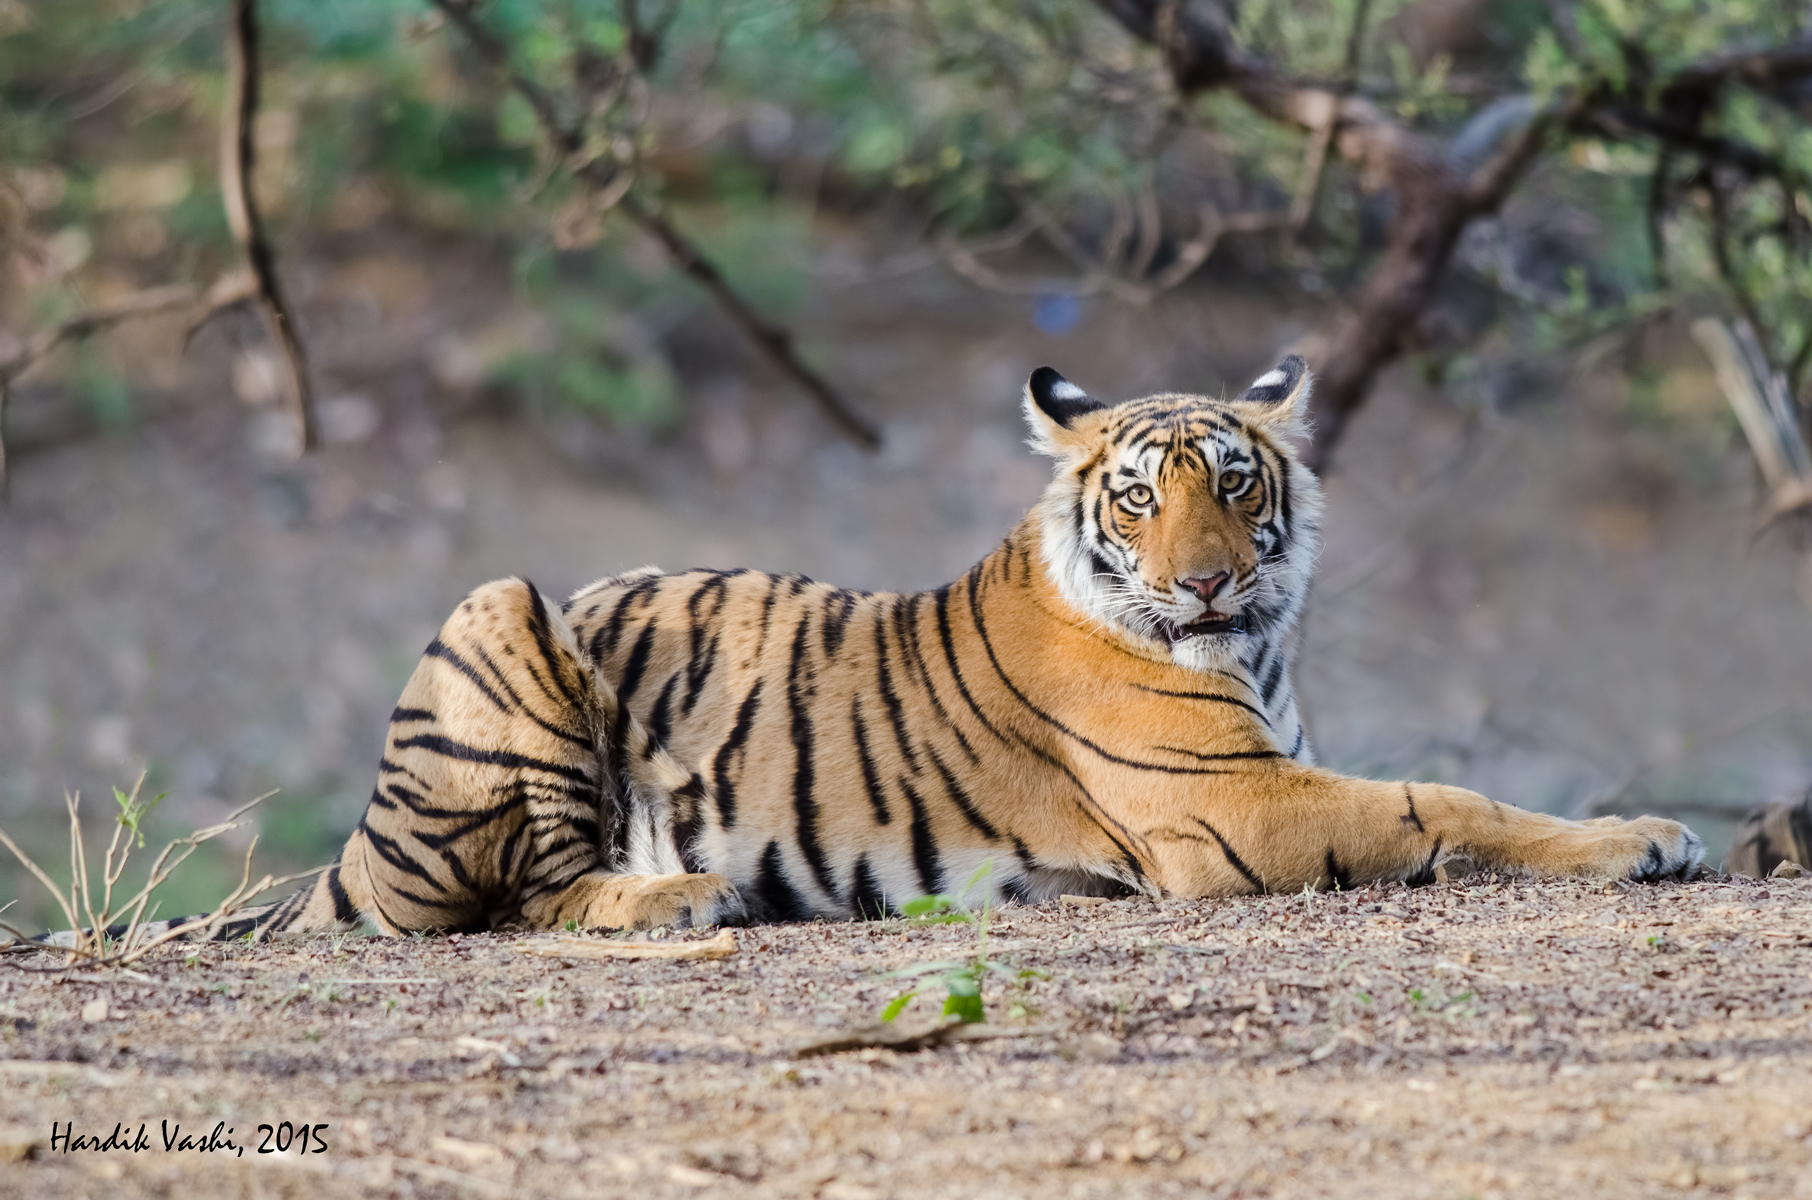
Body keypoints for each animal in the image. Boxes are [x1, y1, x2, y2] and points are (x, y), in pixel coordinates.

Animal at [95, 354, 1708, 942]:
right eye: (1142, 493)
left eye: (1237, 482)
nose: (1202, 584)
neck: (1254, 651)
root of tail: (352, 844)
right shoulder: (1235, 809)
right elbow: (1445, 800)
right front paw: (1648, 837)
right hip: (500, 605)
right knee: (509, 905)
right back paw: (677, 900)